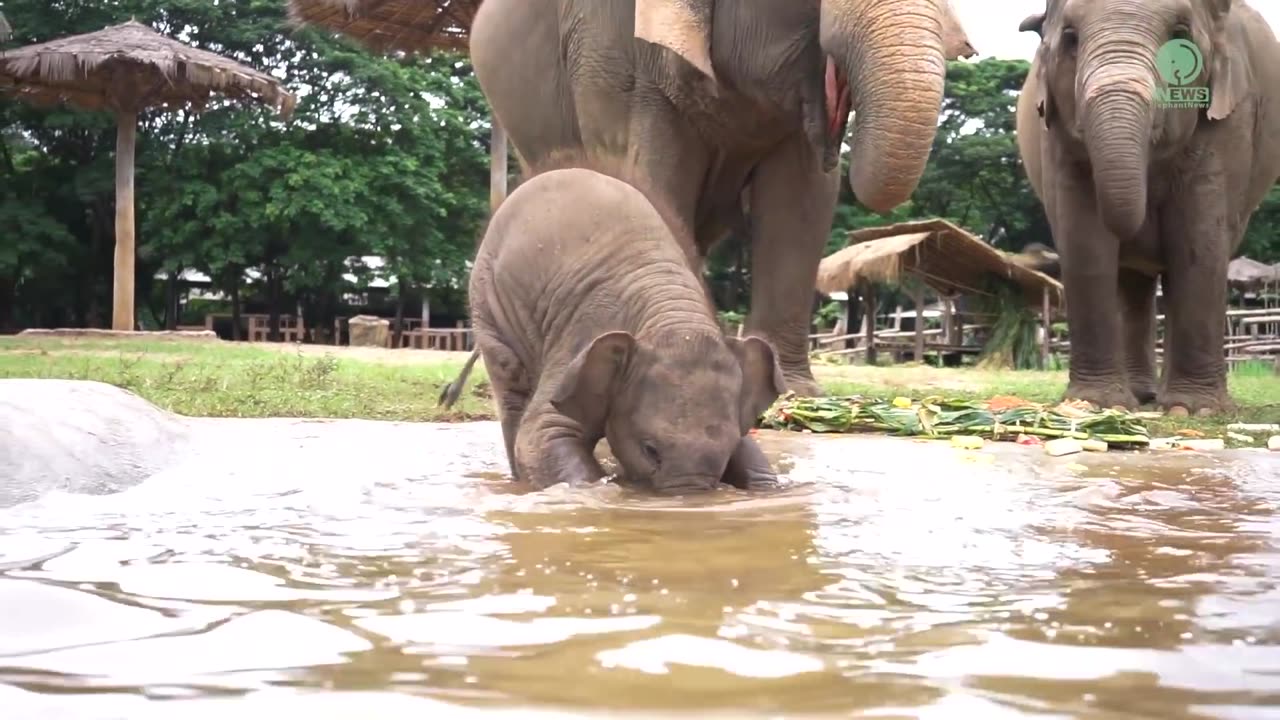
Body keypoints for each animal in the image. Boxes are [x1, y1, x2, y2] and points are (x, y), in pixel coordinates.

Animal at [440, 157, 783, 491]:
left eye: (727, 452)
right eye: (650, 449)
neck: (671, 315)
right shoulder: (583, 332)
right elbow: (541, 434)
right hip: (487, 300)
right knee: (510, 386)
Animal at [1013, 0, 1274, 412]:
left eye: (1181, 35)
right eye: (1070, 38)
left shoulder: (1231, 116)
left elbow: (1198, 238)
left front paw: (1193, 410)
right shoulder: (1053, 132)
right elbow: (1084, 238)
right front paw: (1096, 406)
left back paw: (1163, 400)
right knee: (1134, 285)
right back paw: (1142, 396)